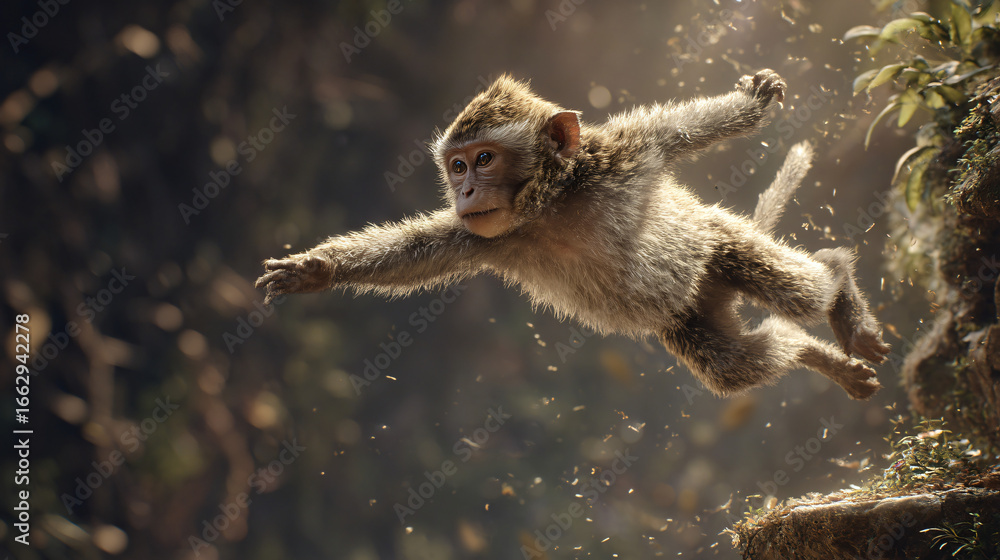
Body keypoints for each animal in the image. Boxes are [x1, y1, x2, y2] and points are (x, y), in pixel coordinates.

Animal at [255, 70, 891, 400]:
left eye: (483, 159)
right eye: (456, 166)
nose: (465, 191)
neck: (551, 206)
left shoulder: (622, 155)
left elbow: (683, 132)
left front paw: (754, 103)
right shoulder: (490, 235)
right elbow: (416, 253)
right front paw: (316, 270)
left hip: (716, 242)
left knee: (798, 292)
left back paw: (838, 285)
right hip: (691, 315)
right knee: (733, 364)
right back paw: (819, 355)